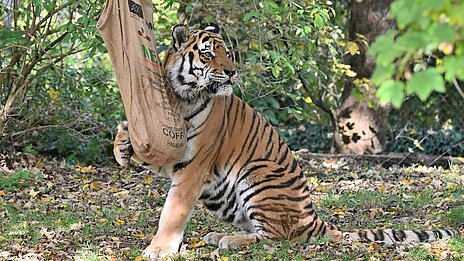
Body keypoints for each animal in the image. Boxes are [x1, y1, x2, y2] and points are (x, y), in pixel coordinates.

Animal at [113, 23, 460, 258]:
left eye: (228, 53)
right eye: (209, 54)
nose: (232, 72)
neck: (182, 96)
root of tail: (316, 219)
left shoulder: (193, 165)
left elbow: (174, 211)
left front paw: (159, 249)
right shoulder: (173, 152)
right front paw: (122, 145)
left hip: (259, 175)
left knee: (278, 236)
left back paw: (228, 240)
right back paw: (217, 236)